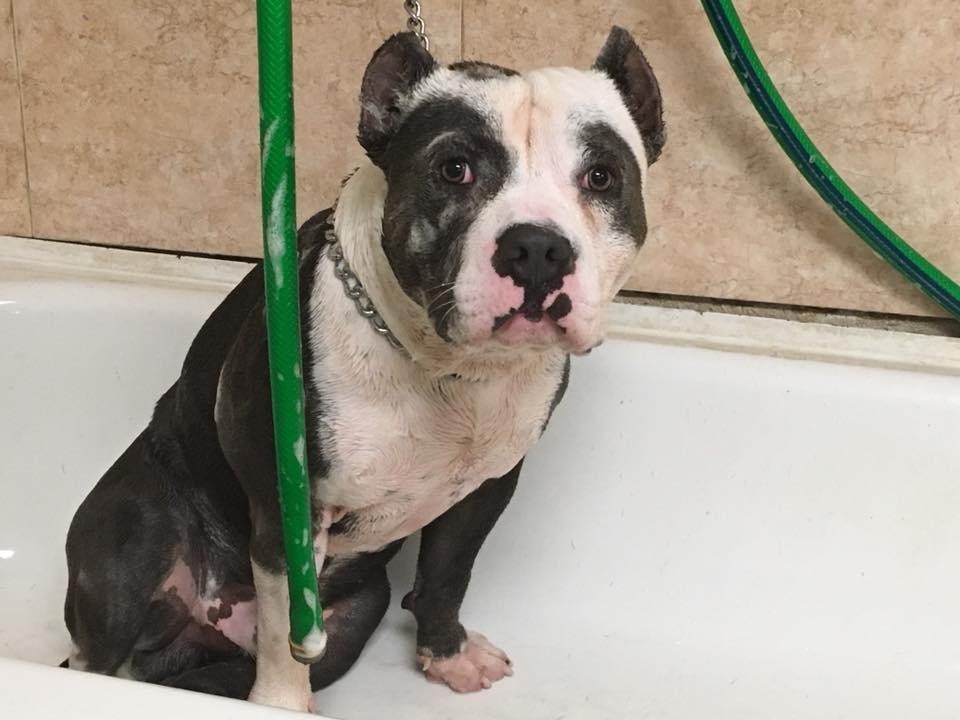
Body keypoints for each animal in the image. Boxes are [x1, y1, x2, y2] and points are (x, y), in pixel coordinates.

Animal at [63, 27, 665, 712]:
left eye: (601, 176)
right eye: (453, 169)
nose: (537, 247)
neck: (447, 370)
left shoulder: (484, 492)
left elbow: (447, 576)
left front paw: (448, 654)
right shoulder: (288, 514)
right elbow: (283, 641)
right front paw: (281, 707)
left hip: (354, 615)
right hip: (133, 539)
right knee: (98, 654)